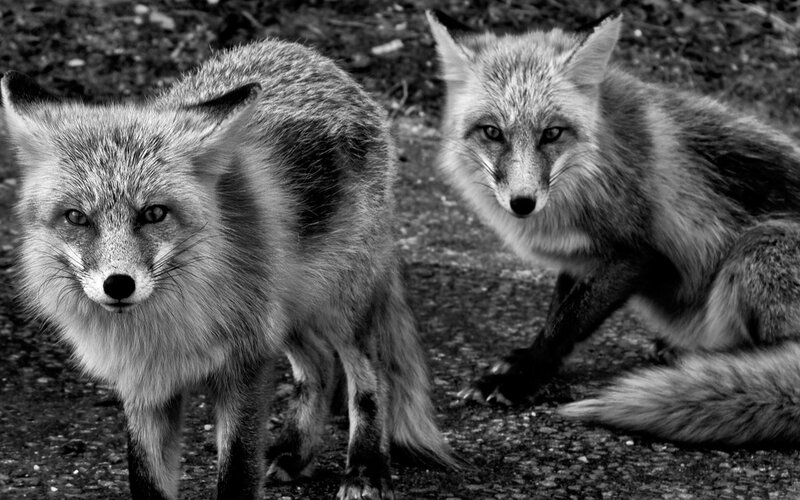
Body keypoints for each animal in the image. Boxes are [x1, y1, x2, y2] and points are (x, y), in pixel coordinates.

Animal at [2, 39, 453, 500]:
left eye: (154, 213)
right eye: (76, 218)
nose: (118, 284)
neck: (164, 329)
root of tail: (311, 56)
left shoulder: (247, 360)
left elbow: (237, 471)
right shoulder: (144, 383)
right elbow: (145, 477)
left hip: (338, 305)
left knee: (369, 376)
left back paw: (365, 468)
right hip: (286, 309)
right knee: (320, 368)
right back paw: (295, 453)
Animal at [427, 9, 800, 445]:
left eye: (551, 133)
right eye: (492, 132)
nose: (522, 203)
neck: (591, 169)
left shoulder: (637, 254)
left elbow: (567, 324)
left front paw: (522, 377)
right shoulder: (580, 257)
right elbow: (557, 314)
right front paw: (522, 360)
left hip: (758, 249)